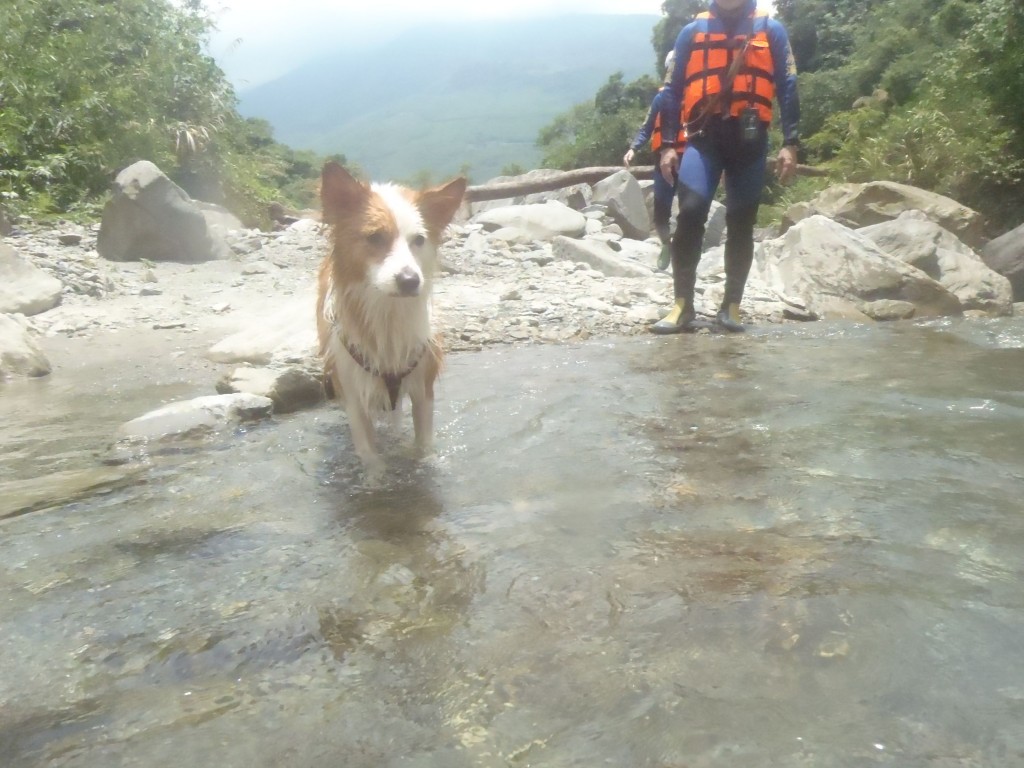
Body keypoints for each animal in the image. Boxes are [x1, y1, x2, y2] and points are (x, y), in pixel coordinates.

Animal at [315, 161, 468, 475]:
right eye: (375, 237)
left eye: (419, 240)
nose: (410, 281)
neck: (387, 312)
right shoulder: (353, 393)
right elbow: (370, 456)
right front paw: (378, 478)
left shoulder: (423, 388)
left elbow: (423, 445)